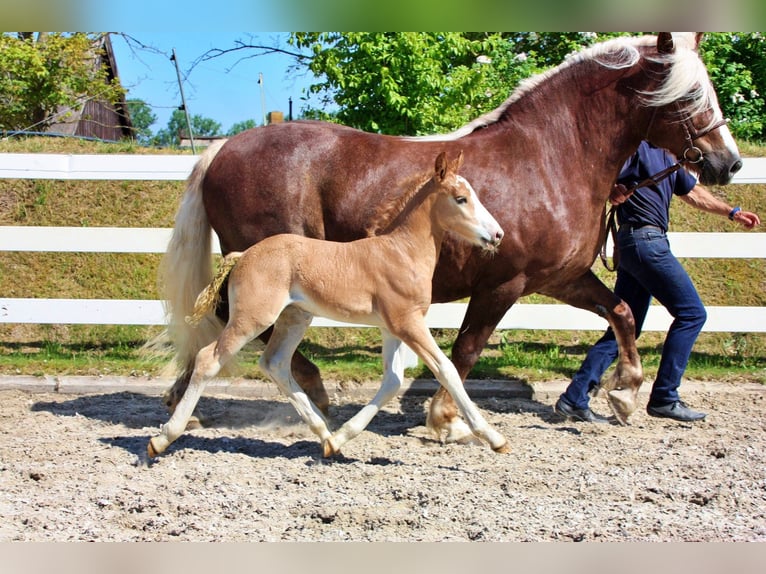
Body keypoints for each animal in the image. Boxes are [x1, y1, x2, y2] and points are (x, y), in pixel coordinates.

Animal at [150, 153, 510, 460]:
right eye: (461, 198)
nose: (497, 234)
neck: (401, 252)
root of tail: (243, 255)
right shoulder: (409, 323)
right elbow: (446, 370)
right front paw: (494, 438)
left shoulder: (392, 327)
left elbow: (393, 381)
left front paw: (341, 438)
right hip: (252, 318)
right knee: (208, 359)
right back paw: (162, 439)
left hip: (294, 318)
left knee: (275, 364)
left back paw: (325, 436)